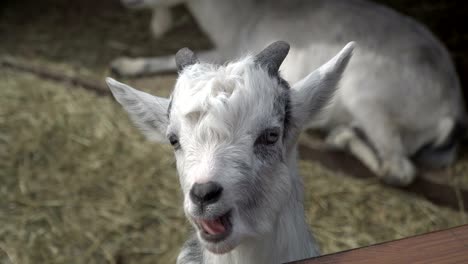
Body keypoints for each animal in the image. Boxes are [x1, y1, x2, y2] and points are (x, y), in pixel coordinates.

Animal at [111, 0, 466, 186]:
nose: (125, 2)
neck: (239, 18)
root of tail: (452, 112)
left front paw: (120, 64)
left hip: (368, 97)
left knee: (400, 170)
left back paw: (338, 138)